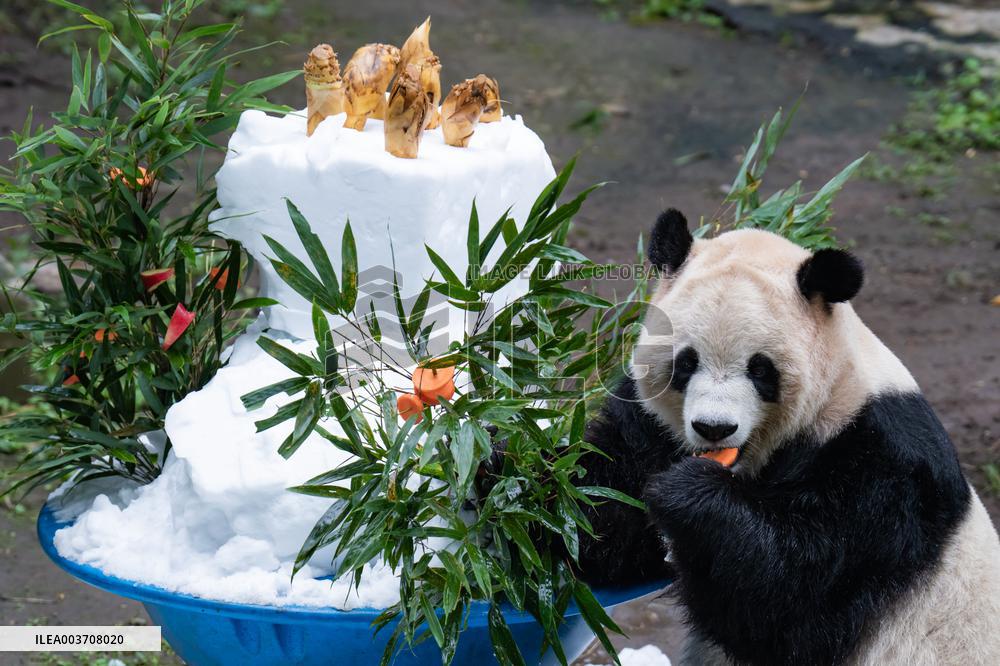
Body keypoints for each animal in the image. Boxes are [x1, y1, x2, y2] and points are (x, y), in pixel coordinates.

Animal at [576, 209, 1000, 665]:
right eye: (686, 363)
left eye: (761, 369)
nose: (714, 428)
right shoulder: (649, 429)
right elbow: (600, 511)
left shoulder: (888, 478)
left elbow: (791, 602)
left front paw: (687, 492)